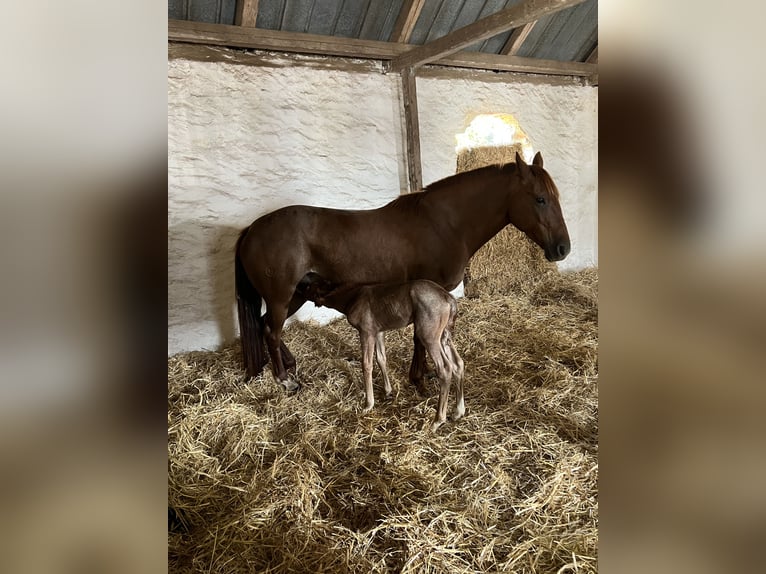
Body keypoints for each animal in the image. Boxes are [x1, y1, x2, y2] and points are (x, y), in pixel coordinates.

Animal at [237, 153, 572, 394]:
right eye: (540, 198)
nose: (563, 248)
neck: (444, 224)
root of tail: (252, 228)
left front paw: (422, 376)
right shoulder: (426, 292)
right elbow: (419, 338)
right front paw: (420, 380)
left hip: (297, 294)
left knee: (267, 326)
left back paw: (290, 365)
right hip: (281, 297)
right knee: (271, 331)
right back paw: (285, 380)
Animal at [304, 278, 464, 432]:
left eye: (308, 287)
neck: (352, 296)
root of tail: (448, 298)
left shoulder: (366, 332)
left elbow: (366, 364)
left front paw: (368, 404)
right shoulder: (378, 331)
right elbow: (381, 358)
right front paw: (388, 391)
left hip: (429, 336)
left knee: (445, 368)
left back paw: (437, 421)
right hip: (444, 335)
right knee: (458, 364)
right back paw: (458, 412)